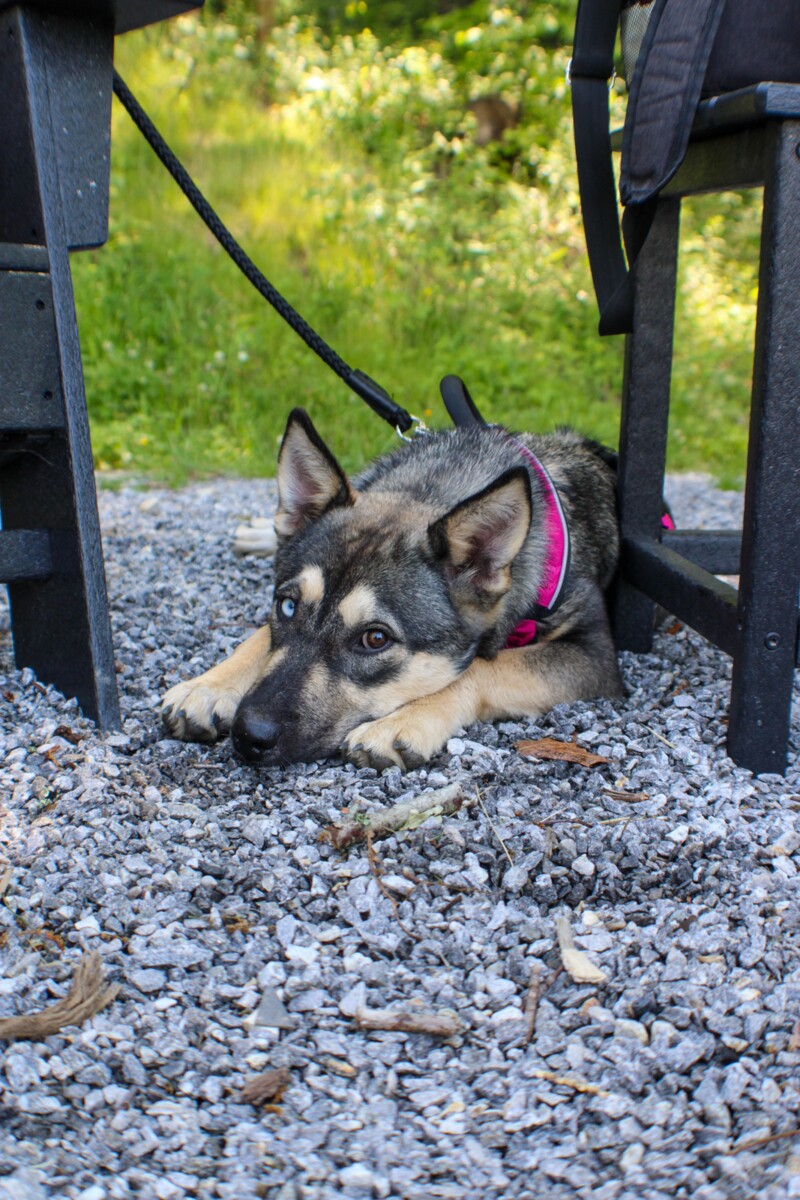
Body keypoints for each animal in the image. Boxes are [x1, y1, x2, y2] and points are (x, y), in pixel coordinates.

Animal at [160, 405, 623, 768]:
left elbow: (484, 668)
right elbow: (258, 638)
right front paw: (210, 685)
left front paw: (402, 721)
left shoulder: (595, 655)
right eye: (287, 607)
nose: (248, 735)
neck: (431, 487)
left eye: (375, 639)